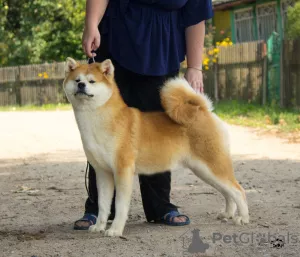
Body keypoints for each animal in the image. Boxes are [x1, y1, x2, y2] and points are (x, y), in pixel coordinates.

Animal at [63, 58, 248, 236]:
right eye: (77, 80)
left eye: (92, 81)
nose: (81, 85)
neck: (100, 120)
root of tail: (203, 111)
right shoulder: (102, 173)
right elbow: (103, 205)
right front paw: (99, 227)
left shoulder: (123, 171)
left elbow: (120, 206)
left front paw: (115, 230)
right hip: (204, 170)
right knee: (228, 192)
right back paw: (227, 213)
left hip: (212, 166)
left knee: (238, 190)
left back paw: (243, 218)